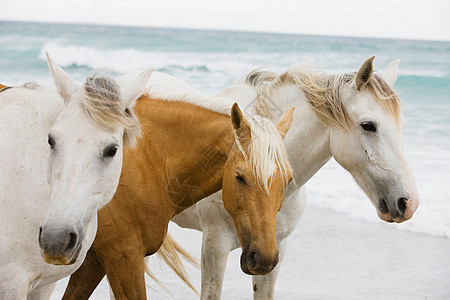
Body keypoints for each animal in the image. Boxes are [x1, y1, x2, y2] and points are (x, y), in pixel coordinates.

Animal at [59, 71, 294, 298]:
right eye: (240, 177)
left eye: (289, 180)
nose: (265, 259)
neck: (145, 157)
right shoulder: (123, 257)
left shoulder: (93, 262)